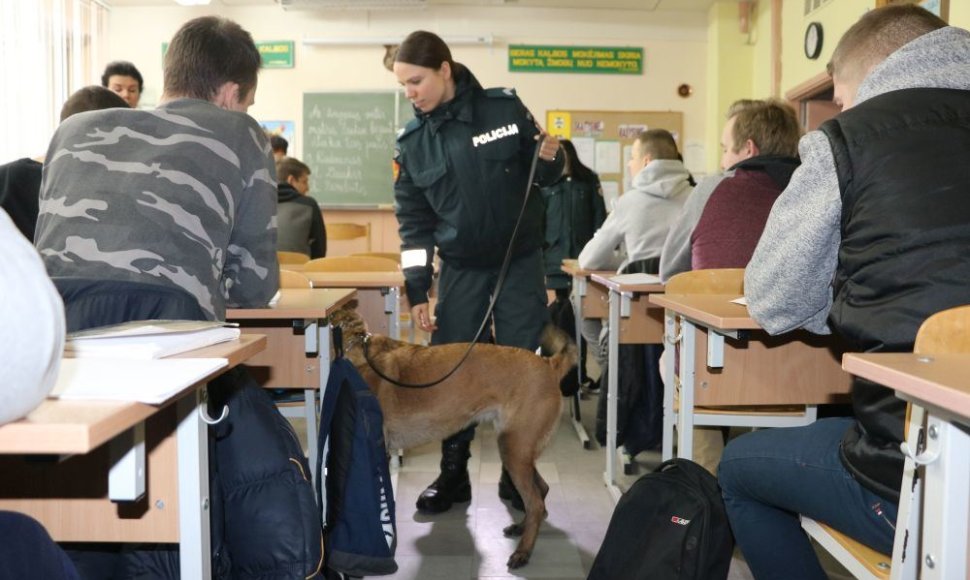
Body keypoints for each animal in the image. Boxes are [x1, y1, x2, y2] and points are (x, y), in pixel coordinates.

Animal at [328, 306, 580, 568]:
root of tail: (548, 364)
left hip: (513, 449)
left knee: (536, 504)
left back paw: (523, 551)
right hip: (518, 450)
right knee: (541, 493)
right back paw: (521, 529)